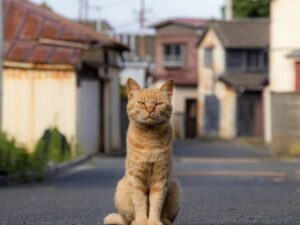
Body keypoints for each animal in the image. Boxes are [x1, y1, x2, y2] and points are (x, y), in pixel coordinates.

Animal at [104, 78, 182, 225]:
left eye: (158, 104)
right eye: (142, 103)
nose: (150, 109)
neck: (149, 139)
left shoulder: (160, 178)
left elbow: (156, 203)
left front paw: (154, 221)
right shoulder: (136, 178)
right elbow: (140, 202)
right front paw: (141, 221)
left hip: (175, 186)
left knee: (168, 216)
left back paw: (164, 221)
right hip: (122, 188)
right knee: (127, 220)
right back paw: (134, 221)